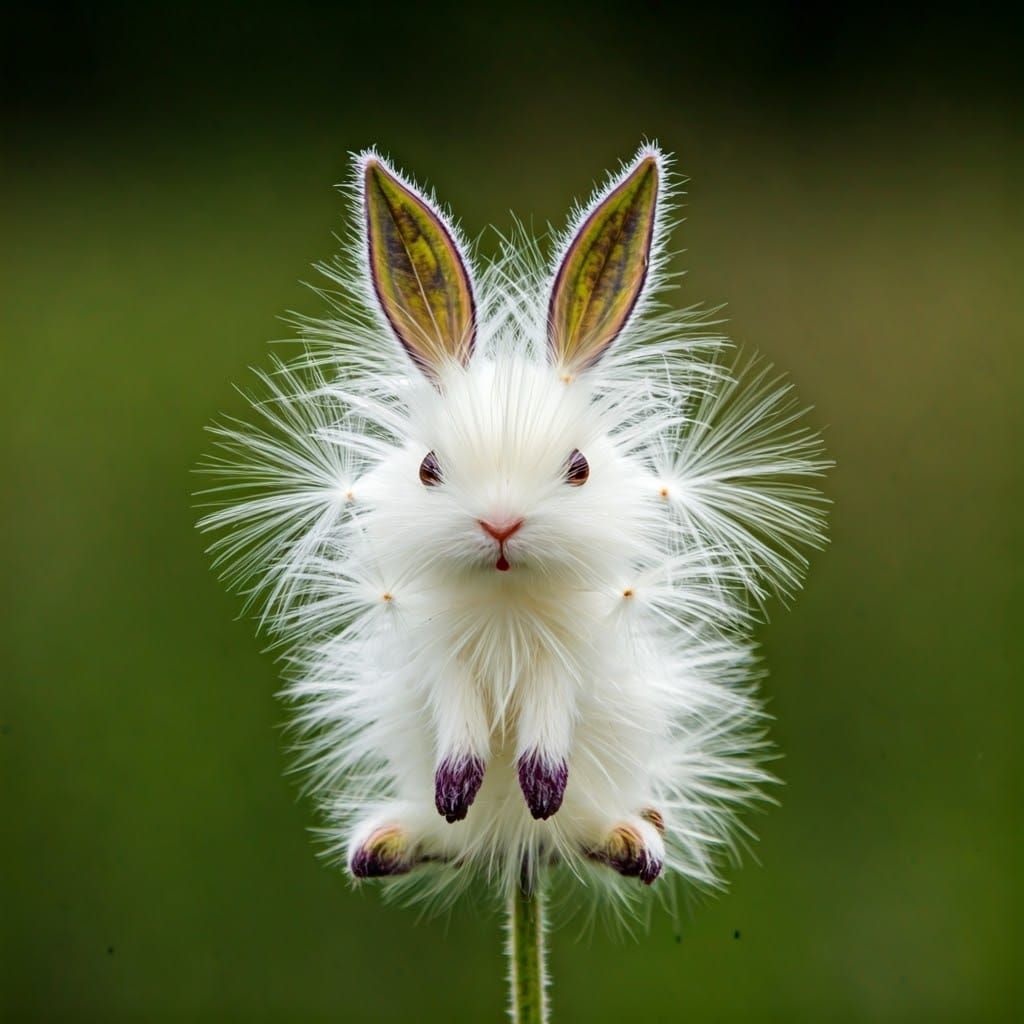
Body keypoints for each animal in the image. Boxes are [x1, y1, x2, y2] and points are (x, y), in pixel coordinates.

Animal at [200, 143, 828, 906]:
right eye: (429, 469)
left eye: (579, 467)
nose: (500, 525)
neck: (506, 604)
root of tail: (515, 852)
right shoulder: (439, 650)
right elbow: (459, 719)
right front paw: (457, 787)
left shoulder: (570, 653)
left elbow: (549, 722)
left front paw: (540, 787)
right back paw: (400, 841)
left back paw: (623, 842)